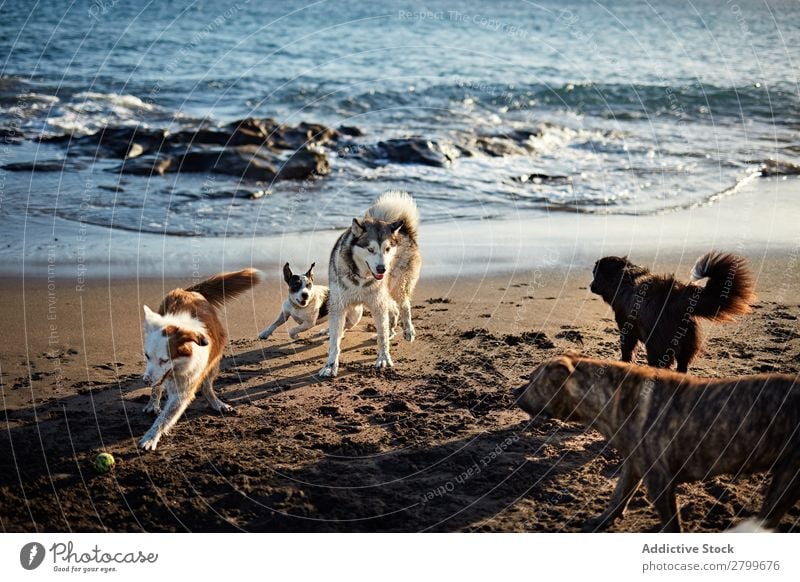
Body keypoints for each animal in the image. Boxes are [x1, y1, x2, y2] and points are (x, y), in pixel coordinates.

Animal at [139, 270, 260, 452]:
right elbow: (158, 390)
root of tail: (188, 291)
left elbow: (164, 418)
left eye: (164, 360)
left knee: (208, 386)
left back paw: (217, 403)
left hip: (214, 360)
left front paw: (150, 437)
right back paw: (153, 403)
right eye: (147, 356)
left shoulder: (184, 389)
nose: (146, 381)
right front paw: (153, 407)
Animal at [318, 192, 422, 378]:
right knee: (393, 309)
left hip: (397, 285)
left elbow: (382, 336)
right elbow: (334, 342)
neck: (361, 278)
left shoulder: (377, 304)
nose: (382, 268)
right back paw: (391, 330)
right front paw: (330, 365)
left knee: (404, 304)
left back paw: (408, 330)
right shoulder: (339, 306)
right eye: (370, 250)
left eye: (387, 249)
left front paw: (383, 358)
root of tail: (404, 230)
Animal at [512, 356, 800, 532]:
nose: (514, 392)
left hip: (787, 478)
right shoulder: (633, 466)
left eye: (532, 380)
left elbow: (671, 524)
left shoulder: (660, 481)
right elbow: (618, 497)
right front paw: (602, 520)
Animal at [588, 252, 756, 372]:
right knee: (682, 365)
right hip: (687, 341)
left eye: (595, 274)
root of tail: (678, 295)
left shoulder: (626, 327)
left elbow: (626, 349)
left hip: (657, 344)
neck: (622, 278)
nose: (590, 285)